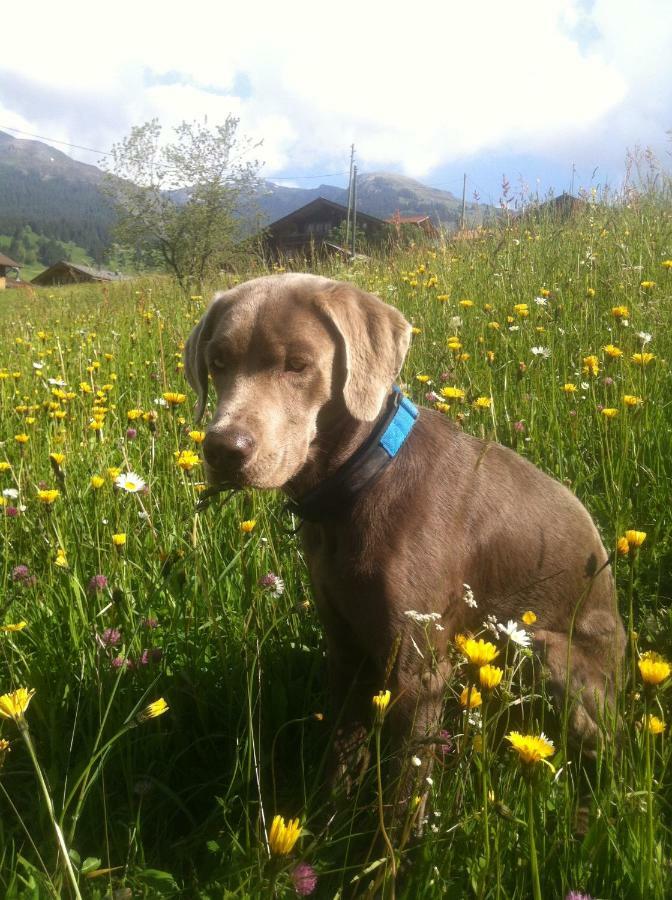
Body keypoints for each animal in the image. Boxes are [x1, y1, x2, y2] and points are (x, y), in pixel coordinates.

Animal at [182, 274, 624, 788]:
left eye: (298, 365)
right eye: (217, 363)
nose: (222, 450)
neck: (362, 480)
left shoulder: (419, 673)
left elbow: (402, 791)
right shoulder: (344, 649)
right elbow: (339, 754)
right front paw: (327, 808)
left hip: (547, 650)